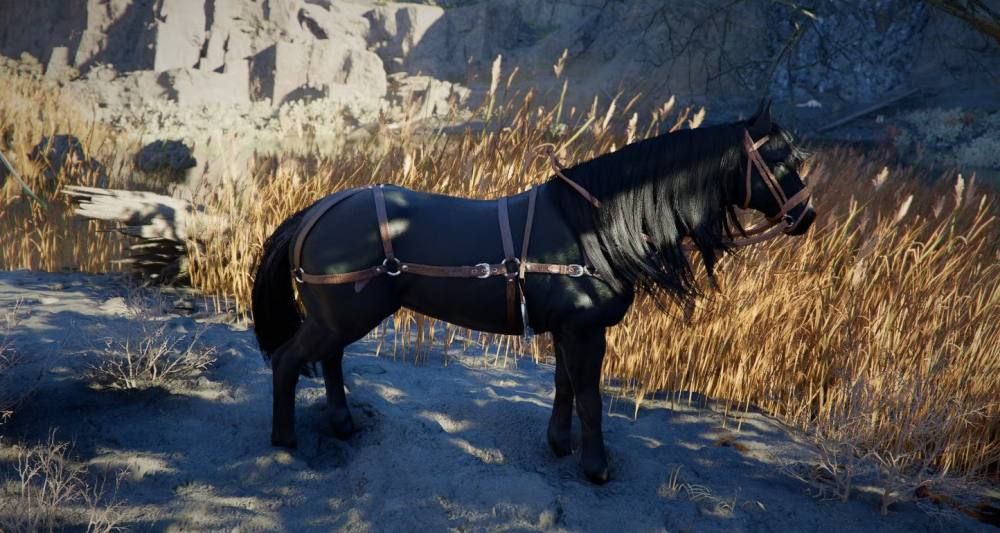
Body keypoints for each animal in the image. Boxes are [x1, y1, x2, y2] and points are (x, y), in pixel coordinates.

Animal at [251, 102, 816, 484]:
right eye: (780, 160)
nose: (807, 215)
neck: (590, 227)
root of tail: (318, 209)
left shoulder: (569, 329)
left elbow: (565, 387)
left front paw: (560, 444)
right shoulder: (585, 330)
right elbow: (590, 398)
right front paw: (595, 467)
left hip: (341, 317)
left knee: (330, 361)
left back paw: (342, 423)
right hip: (341, 317)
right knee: (288, 361)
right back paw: (285, 440)